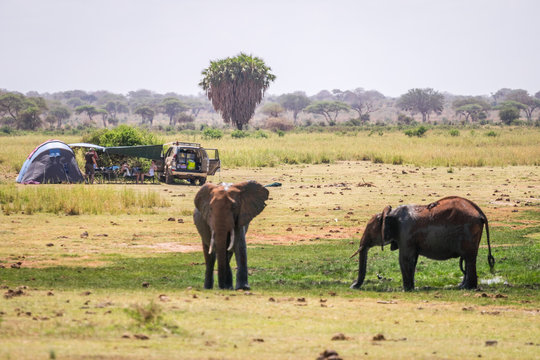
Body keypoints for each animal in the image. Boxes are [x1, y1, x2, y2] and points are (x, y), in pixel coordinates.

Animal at [350, 195, 494, 292]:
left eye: (370, 230)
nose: (352, 286)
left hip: (469, 230)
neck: (390, 213)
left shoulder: (405, 233)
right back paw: (461, 286)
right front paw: (411, 288)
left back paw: (468, 288)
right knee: (467, 259)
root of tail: (480, 213)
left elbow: (404, 259)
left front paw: (406, 290)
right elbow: (412, 260)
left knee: (469, 258)